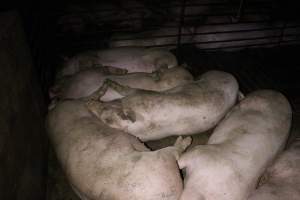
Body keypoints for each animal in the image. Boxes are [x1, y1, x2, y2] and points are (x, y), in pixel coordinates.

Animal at [86, 70, 239, 141]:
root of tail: (234, 79)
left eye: (107, 119)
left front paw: (108, 82)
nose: (89, 103)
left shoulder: (141, 94)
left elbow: (128, 89)